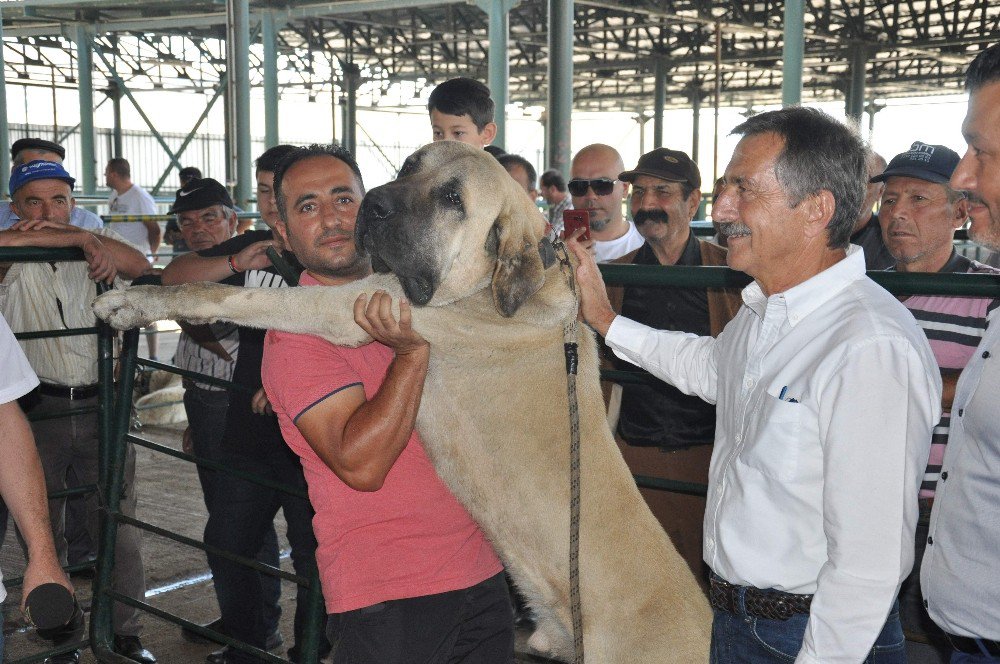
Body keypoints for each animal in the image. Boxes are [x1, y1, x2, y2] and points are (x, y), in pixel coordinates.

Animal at [94, 143, 712, 660]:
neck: (495, 286)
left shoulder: (353, 306)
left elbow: (237, 298)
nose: (371, 204)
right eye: (411, 164)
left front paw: (139, 301)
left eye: (452, 199)